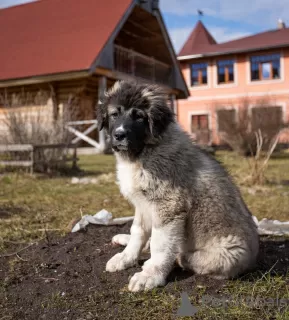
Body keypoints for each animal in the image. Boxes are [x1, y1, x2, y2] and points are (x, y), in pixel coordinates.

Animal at [97, 80, 258, 292]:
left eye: (139, 117)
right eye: (115, 114)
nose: (119, 135)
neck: (145, 151)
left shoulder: (169, 206)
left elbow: (160, 244)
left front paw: (150, 275)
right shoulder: (143, 204)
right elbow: (137, 231)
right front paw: (126, 257)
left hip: (228, 254)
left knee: (187, 257)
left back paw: (177, 257)